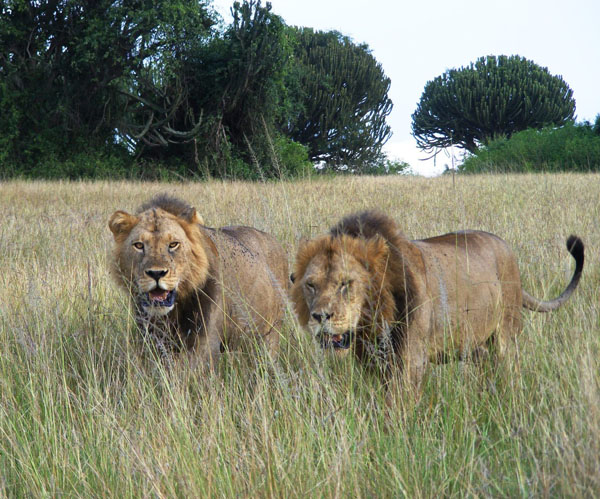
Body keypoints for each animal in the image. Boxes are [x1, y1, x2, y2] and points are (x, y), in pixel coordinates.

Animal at [109, 195, 290, 364]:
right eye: (139, 245)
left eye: (173, 244)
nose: (156, 273)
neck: (173, 313)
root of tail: (275, 241)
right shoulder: (153, 340)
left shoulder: (204, 343)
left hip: (271, 332)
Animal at [288, 211, 584, 398]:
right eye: (310, 285)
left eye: (345, 283)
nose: (320, 317)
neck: (372, 322)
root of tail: (506, 247)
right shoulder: (372, 364)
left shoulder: (411, 361)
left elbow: (398, 406)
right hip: (476, 344)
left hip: (505, 337)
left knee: (508, 370)